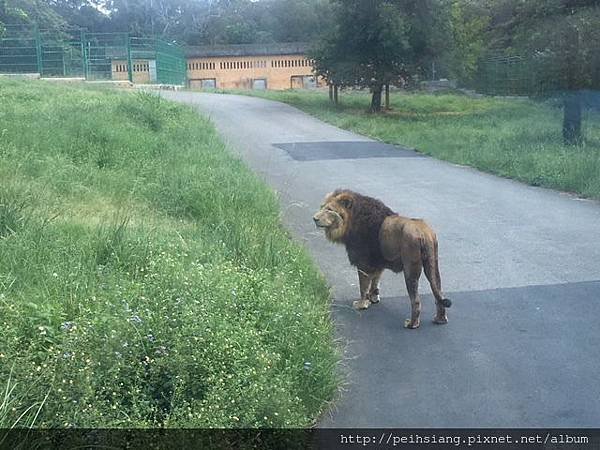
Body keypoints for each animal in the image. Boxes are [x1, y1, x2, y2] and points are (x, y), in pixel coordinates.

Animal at [314, 188, 450, 328]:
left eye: (329, 209)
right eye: (321, 207)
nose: (314, 218)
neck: (351, 222)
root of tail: (424, 233)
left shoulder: (363, 264)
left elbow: (363, 287)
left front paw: (361, 304)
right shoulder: (377, 264)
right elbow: (375, 282)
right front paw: (373, 298)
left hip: (410, 270)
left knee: (416, 301)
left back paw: (412, 324)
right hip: (433, 266)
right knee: (439, 293)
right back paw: (440, 319)